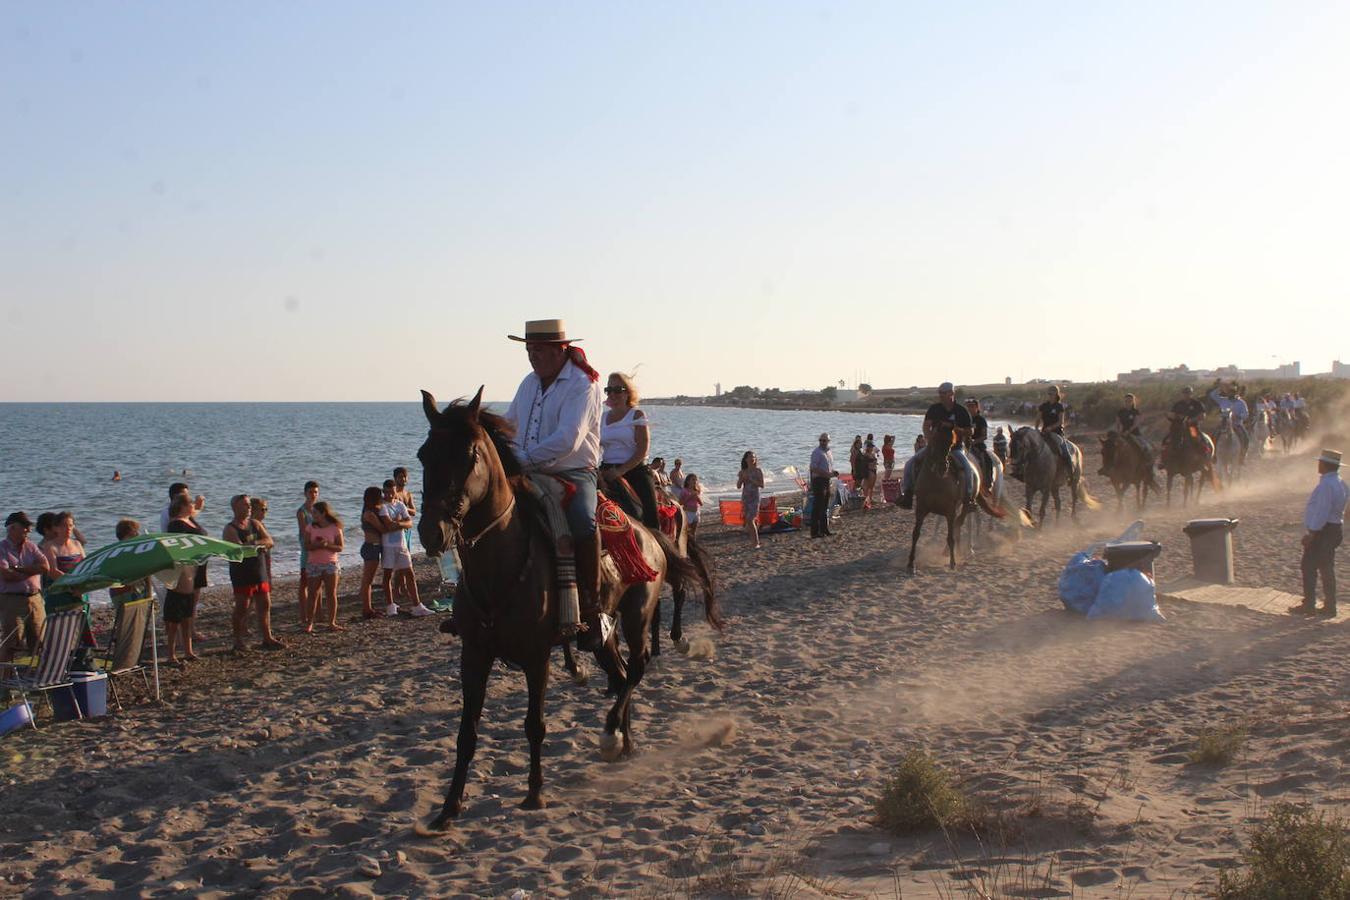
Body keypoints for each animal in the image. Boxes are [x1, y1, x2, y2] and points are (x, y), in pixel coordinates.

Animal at [415, 388, 723, 831]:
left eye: (470, 455)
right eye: (424, 454)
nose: (431, 531)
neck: (501, 564)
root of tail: (648, 532)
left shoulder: (536, 656)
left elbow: (535, 725)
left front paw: (535, 793)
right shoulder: (473, 655)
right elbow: (466, 733)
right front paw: (448, 807)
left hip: (635, 615)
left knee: (639, 666)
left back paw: (613, 733)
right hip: (601, 634)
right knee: (622, 674)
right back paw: (625, 742)